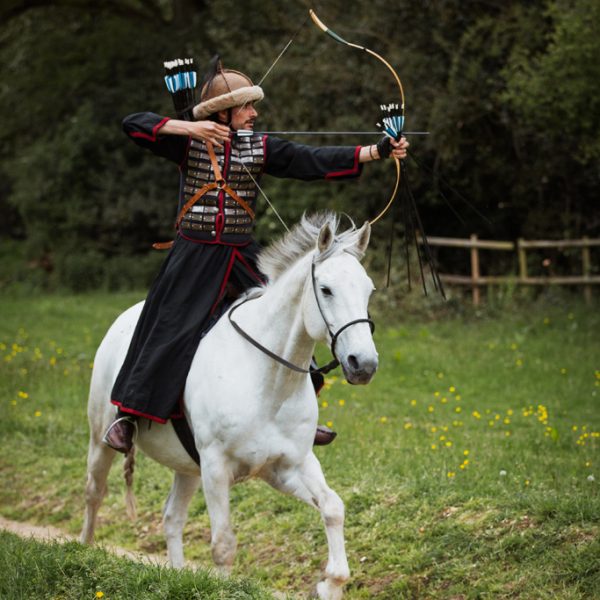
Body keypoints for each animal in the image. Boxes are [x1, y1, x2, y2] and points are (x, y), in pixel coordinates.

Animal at [81, 213, 380, 596]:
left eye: (368, 290)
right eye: (326, 289)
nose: (363, 364)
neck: (267, 381)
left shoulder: (288, 466)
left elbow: (333, 507)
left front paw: (332, 583)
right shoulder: (216, 466)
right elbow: (223, 544)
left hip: (188, 468)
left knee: (172, 517)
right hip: (101, 438)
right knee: (94, 492)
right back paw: (84, 550)